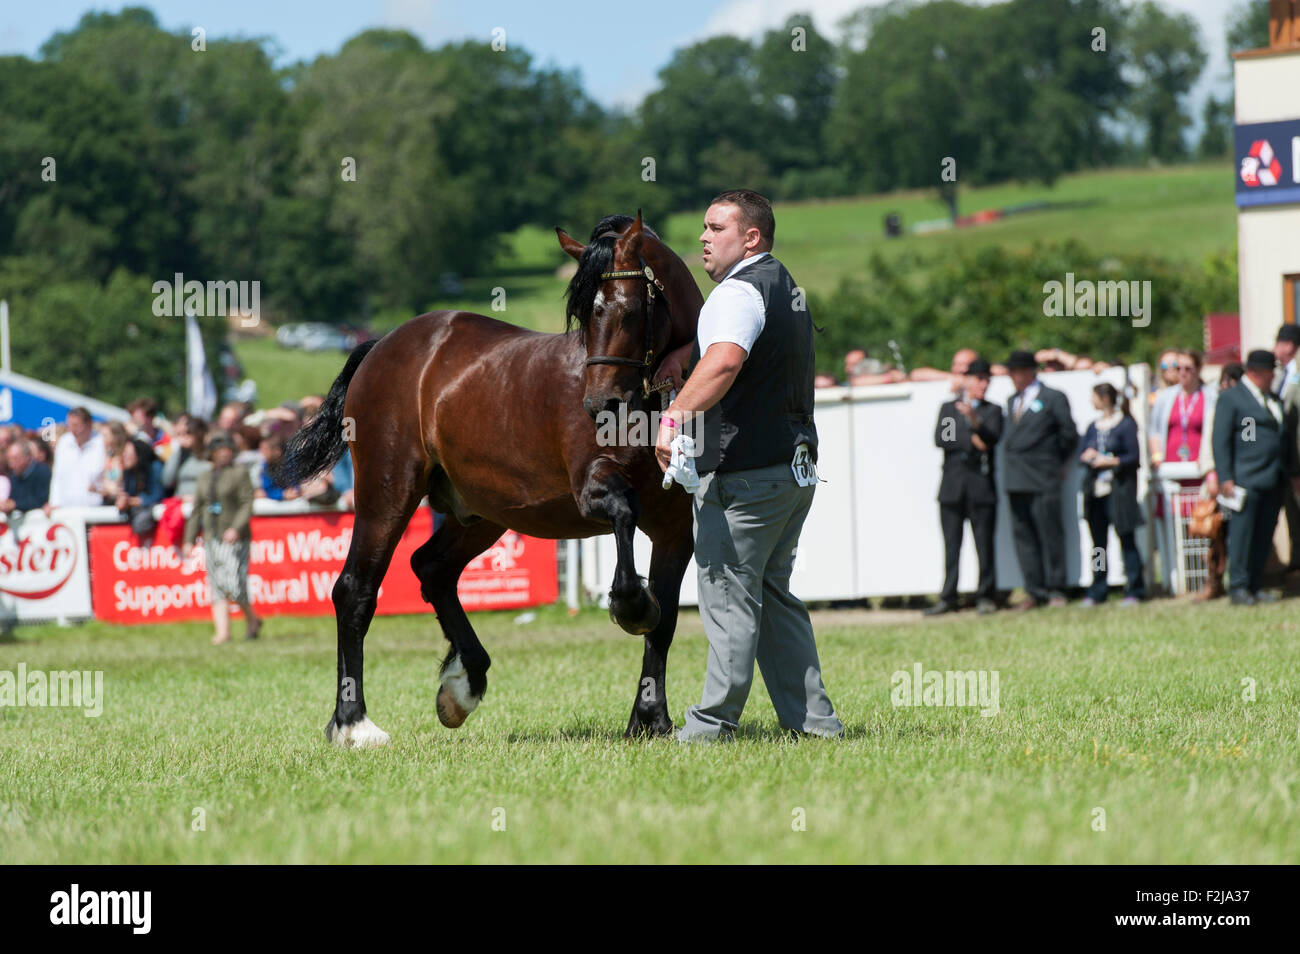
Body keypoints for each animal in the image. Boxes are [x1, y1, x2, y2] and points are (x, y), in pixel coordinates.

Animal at [282, 213, 702, 748]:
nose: (600, 406)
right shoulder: (593, 492)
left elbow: (664, 623)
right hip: (387, 492)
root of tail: (386, 344)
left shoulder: (676, 531)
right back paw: (353, 722)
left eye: (629, 312)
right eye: (586, 317)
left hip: (483, 512)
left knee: (433, 568)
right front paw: (631, 606)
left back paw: (463, 683)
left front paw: (651, 720)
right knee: (355, 589)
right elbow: (628, 527)